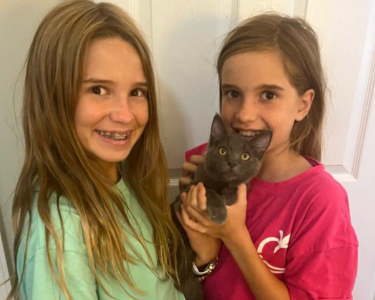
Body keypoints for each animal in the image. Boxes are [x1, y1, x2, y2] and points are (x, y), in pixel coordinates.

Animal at [172, 113, 272, 300]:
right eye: (222, 151)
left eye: (245, 156)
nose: (232, 163)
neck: (222, 183)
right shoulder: (188, 191)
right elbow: (208, 190)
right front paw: (220, 212)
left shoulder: (244, 184)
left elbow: (242, 184)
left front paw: (229, 195)